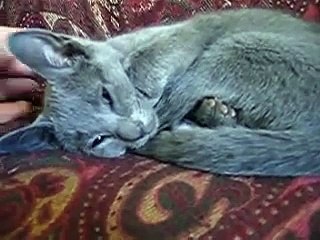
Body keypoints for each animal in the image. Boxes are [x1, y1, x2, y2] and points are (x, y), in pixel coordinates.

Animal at [0, 7, 320, 176]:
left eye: (106, 95)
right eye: (97, 140)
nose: (134, 133)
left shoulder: (187, 31)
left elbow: (152, 58)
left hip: (239, 46)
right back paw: (213, 114)